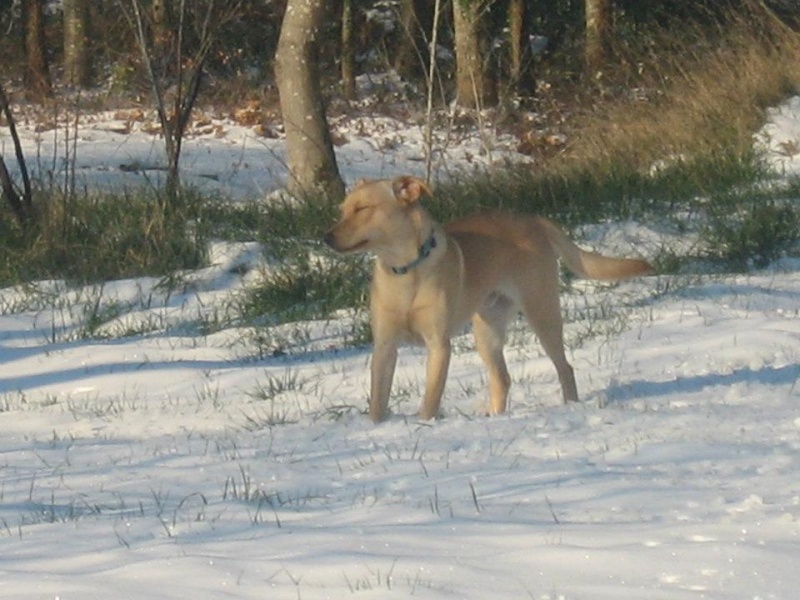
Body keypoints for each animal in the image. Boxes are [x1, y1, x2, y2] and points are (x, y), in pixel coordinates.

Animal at [324, 175, 656, 422]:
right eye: (342, 210)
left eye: (362, 209)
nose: (326, 237)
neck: (405, 271)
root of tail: (532, 220)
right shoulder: (384, 347)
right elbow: (378, 403)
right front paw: (377, 425)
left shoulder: (438, 345)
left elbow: (430, 400)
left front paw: (425, 424)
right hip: (486, 330)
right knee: (502, 379)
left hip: (542, 313)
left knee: (565, 368)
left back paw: (570, 407)